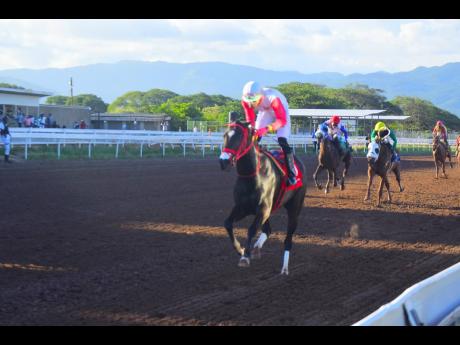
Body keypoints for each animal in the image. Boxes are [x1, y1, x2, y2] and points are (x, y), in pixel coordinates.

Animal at [218, 120, 306, 274]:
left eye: (239, 137)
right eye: (225, 135)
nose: (223, 161)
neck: (254, 175)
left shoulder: (263, 209)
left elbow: (252, 229)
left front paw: (245, 257)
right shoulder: (243, 207)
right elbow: (227, 223)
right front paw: (240, 249)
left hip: (294, 207)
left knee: (288, 238)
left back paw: (284, 268)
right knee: (267, 230)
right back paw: (256, 248)